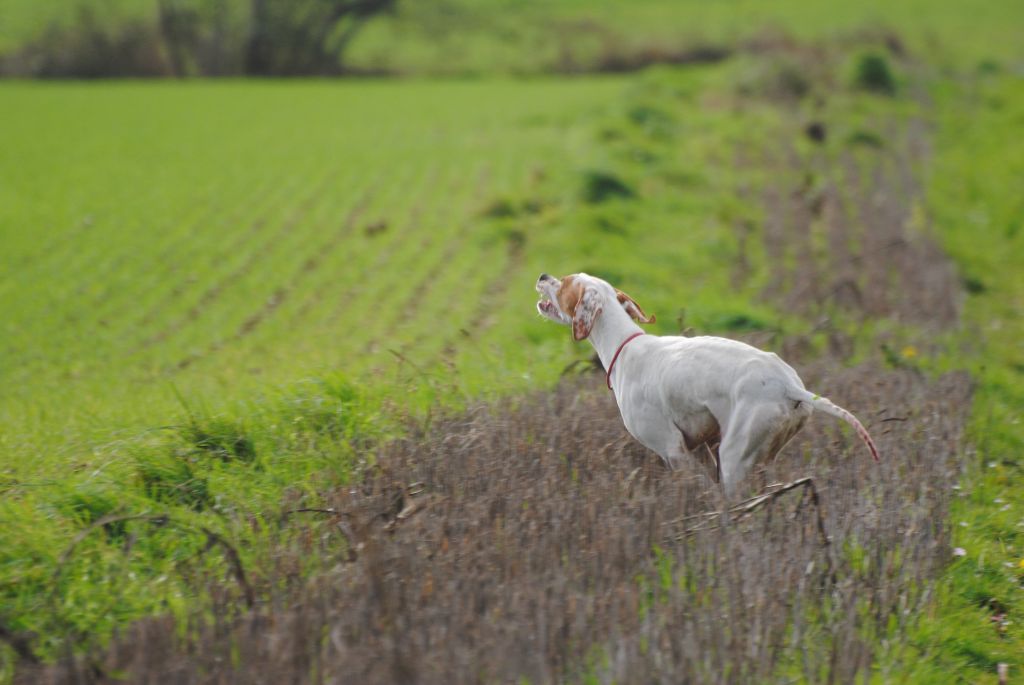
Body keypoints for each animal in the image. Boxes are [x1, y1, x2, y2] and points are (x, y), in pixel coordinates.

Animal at [536, 270, 880, 491]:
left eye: (566, 282)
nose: (542, 276)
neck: (626, 346)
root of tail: (788, 385)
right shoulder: (699, 449)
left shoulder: (673, 450)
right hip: (760, 458)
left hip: (733, 458)